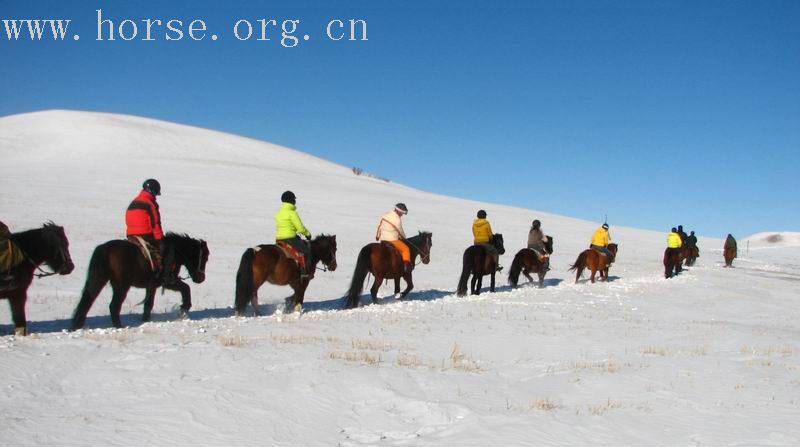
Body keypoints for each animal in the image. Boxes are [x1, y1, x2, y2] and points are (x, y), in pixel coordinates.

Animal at [71, 234, 209, 332]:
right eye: (205, 257)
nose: (201, 278)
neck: (176, 252)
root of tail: (105, 249)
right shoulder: (168, 281)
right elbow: (186, 288)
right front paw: (184, 306)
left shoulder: (152, 286)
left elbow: (148, 305)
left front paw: (145, 321)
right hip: (121, 286)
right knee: (114, 306)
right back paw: (119, 327)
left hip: (99, 280)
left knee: (87, 301)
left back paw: (76, 326)